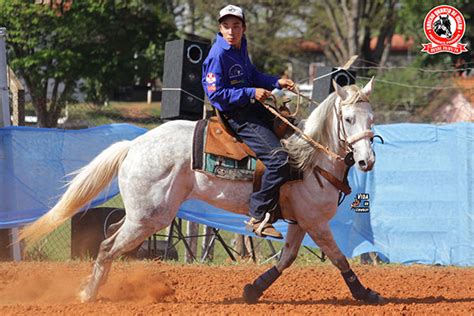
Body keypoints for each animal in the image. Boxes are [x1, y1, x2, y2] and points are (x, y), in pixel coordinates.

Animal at [19, 78, 382, 304]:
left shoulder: (300, 221)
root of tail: (133, 145)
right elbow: (338, 258)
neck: (310, 158)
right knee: (108, 247)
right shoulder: (316, 222)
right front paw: (366, 294)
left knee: (110, 239)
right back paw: (88, 295)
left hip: (141, 216)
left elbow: (286, 259)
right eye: (348, 119)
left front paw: (252, 290)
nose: (367, 161)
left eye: (371, 118)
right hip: (150, 217)